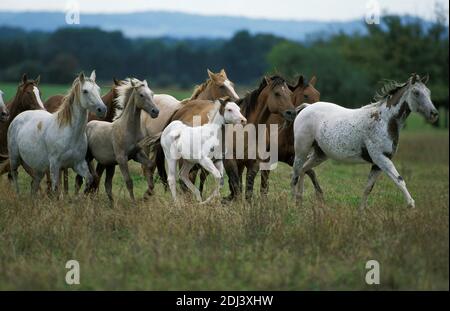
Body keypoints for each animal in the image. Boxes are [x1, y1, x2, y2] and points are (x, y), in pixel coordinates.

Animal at [292, 73, 440, 210]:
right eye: (416, 92)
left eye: (428, 92)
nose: (434, 114)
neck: (384, 121)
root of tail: (306, 107)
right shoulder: (381, 158)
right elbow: (399, 180)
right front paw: (411, 204)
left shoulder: (377, 164)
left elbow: (368, 188)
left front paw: (361, 212)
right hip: (301, 151)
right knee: (295, 174)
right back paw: (293, 205)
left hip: (320, 154)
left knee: (304, 169)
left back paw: (299, 201)